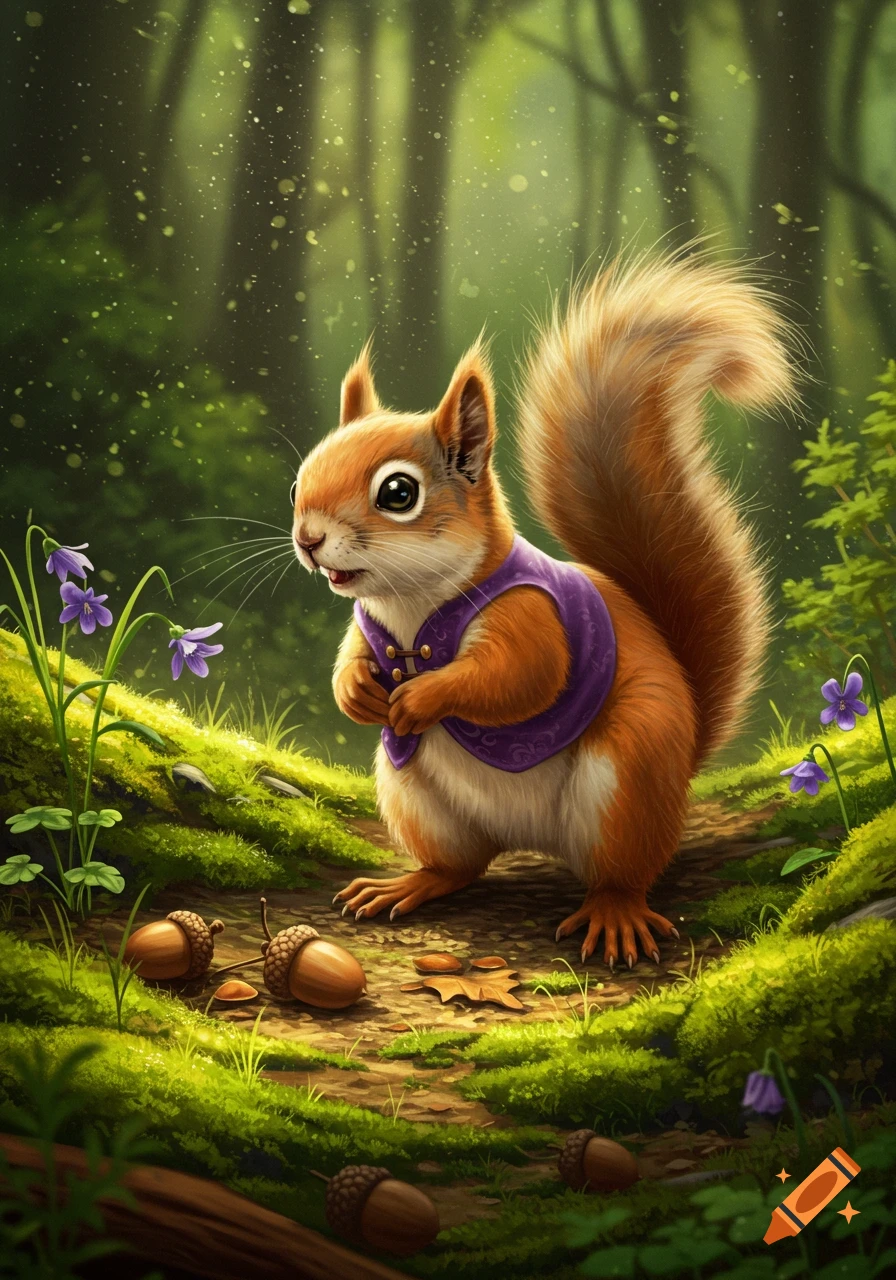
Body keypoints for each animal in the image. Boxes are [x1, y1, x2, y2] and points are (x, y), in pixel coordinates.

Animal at [291, 252, 796, 969]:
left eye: (398, 493)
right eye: (299, 479)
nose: (307, 538)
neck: (414, 602)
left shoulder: (531, 617)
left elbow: (518, 679)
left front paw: (422, 697)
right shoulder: (367, 626)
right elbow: (350, 657)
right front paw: (358, 691)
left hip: (629, 774)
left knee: (621, 872)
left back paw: (614, 914)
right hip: (414, 793)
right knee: (459, 866)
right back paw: (408, 884)